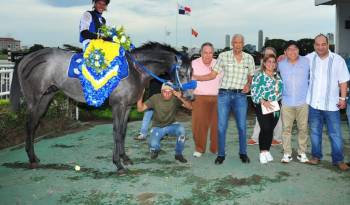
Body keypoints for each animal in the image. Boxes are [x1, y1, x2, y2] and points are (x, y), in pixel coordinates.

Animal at [10, 42, 194, 174]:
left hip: (46, 98)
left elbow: (122, 132)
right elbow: (116, 132)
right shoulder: (118, 106)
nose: (190, 96)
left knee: (33, 125)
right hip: (34, 100)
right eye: (182, 73)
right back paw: (32, 159)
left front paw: (124, 158)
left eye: (192, 72)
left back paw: (34, 157)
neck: (133, 70)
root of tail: (26, 57)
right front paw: (118, 164)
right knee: (29, 125)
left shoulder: (127, 107)